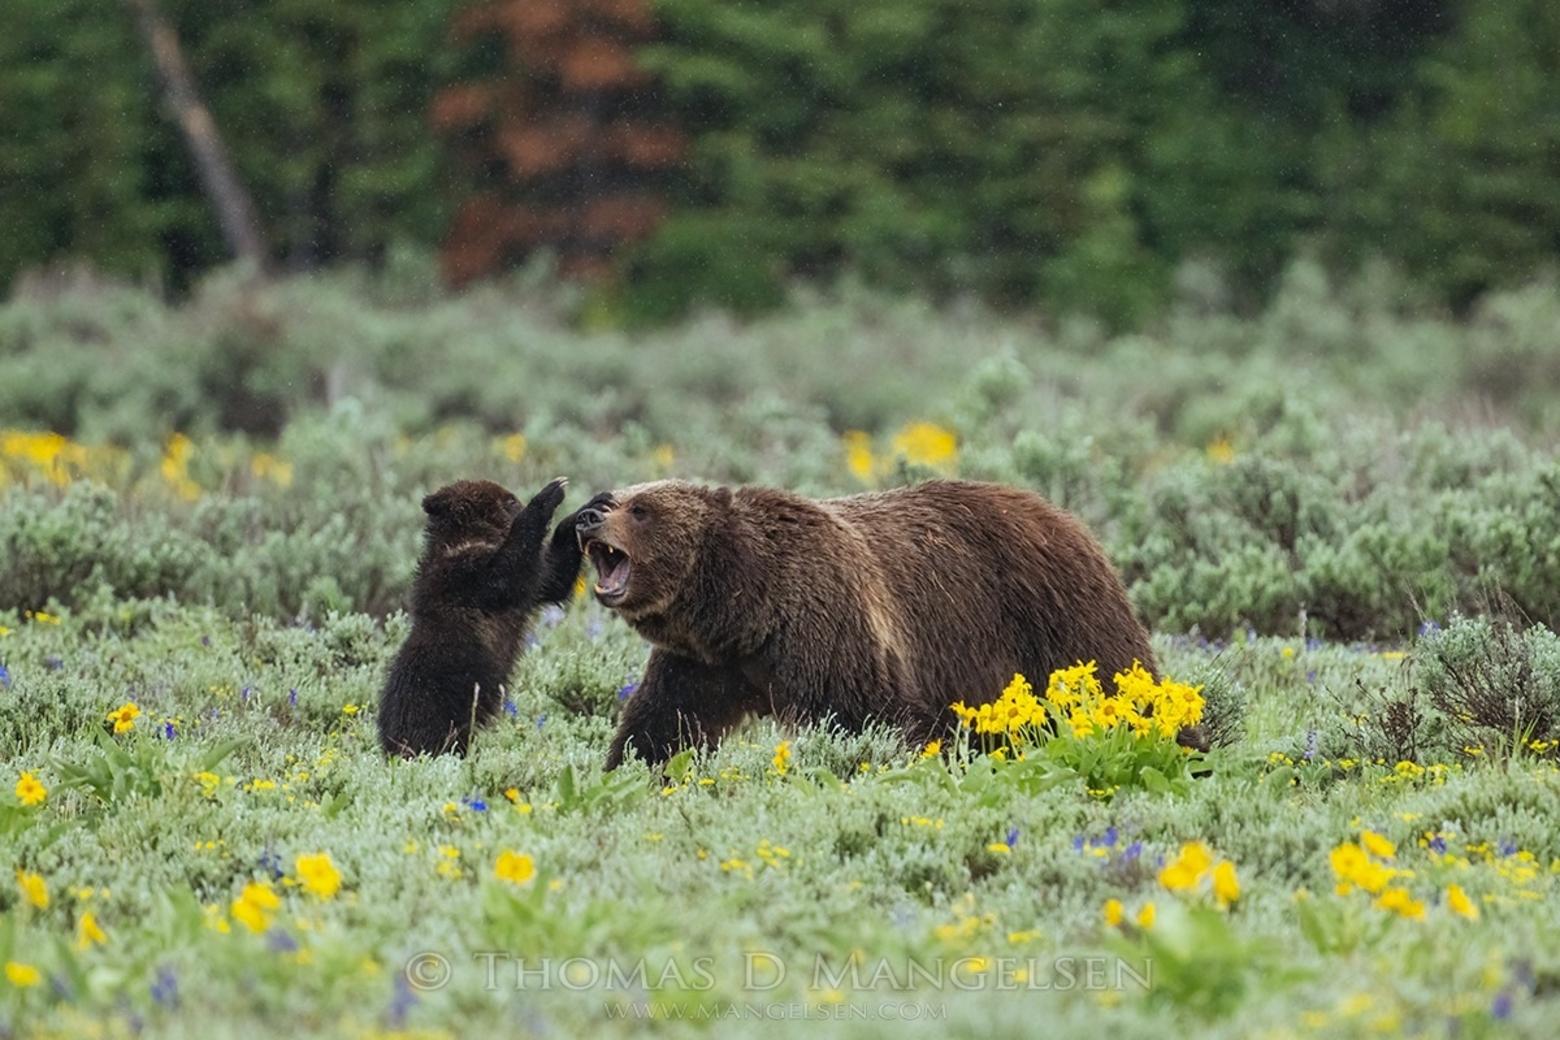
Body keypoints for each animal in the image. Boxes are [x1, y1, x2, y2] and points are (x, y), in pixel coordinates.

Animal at [376, 477, 604, 757]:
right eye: (511, 500)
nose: (517, 500)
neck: (471, 536)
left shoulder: (529, 587)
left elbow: (551, 577)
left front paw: (584, 511)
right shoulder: (463, 575)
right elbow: (506, 572)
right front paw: (549, 493)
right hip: (434, 693)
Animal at [574, 478, 1160, 769]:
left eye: (641, 508)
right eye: (613, 497)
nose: (588, 514)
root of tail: (1066, 516)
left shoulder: (830, 626)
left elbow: (865, 719)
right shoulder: (702, 663)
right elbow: (663, 723)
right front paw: (629, 769)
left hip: (1055, 614)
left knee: (1120, 676)